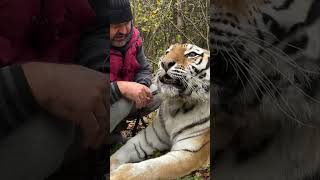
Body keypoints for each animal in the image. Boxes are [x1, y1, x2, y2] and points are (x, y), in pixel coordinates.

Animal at [109, 43, 210, 179]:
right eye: (167, 52)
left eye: (192, 54)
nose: (165, 63)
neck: (175, 107)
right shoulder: (144, 141)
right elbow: (117, 155)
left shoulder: (188, 152)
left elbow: (147, 168)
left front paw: (115, 175)